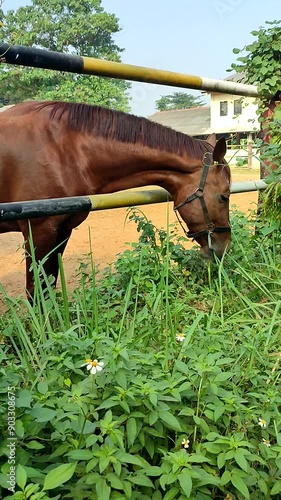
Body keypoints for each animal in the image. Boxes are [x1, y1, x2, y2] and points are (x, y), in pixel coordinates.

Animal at [0, 101, 230, 296]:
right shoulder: (38, 232)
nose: (224, 248)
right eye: (224, 196)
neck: (60, 149)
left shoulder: (62, 231)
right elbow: (37, 293)